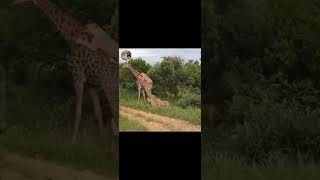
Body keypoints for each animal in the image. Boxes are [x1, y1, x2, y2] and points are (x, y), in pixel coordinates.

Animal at [11, 0, 119, 146]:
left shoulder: (77, 75)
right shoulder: (91, 84)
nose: (14, 4)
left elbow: (78, 111)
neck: (71, 34)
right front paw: (101, 140)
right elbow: (97, 112)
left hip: (110, 89)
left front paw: (72, 142)